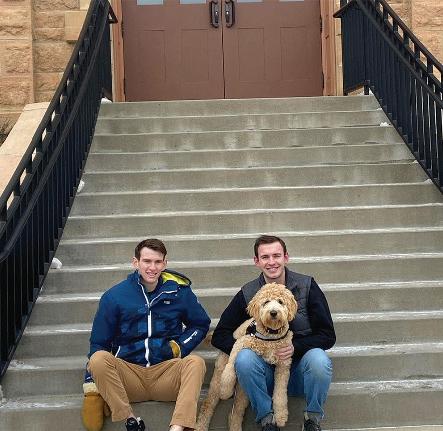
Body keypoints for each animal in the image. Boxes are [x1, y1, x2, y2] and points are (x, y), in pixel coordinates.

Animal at [196, 283, 297, 431]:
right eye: (266, 302)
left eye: (280, 302)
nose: (273, 312)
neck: (271, 336)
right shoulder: (241, 342)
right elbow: (231, 366)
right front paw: (226, 390)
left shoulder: (283, 366)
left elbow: (280, 393)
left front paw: (281, 416)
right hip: (217, 379)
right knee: (207, 404)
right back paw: (200, 426)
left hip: (243, 391)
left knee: (235, 412)